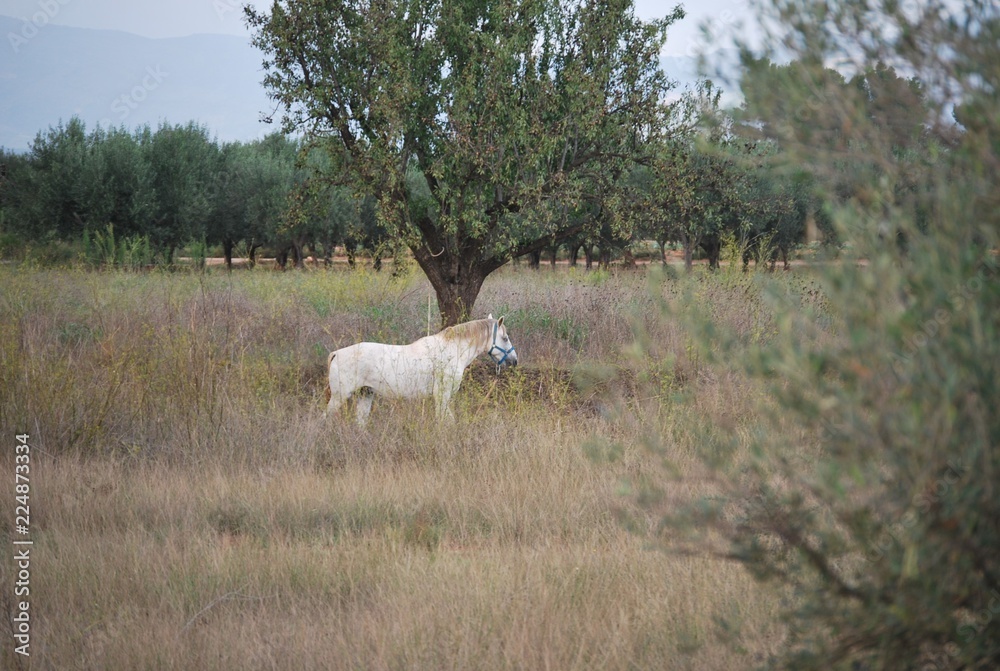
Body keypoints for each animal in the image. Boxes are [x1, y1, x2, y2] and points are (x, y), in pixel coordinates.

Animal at [323, 314, 517, 425]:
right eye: (505, 338)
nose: (514, 360)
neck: (452, 349)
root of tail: (336, 353)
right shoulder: (442, 395)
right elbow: (446, 420)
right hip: (340, 396)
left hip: (365, 394)